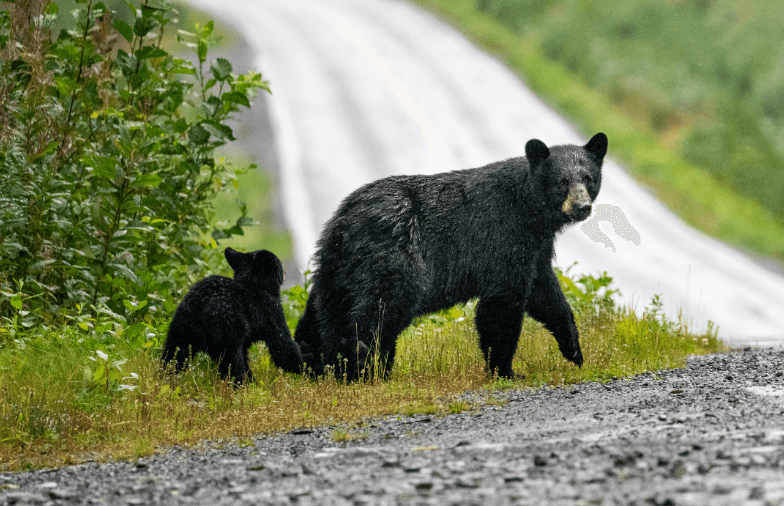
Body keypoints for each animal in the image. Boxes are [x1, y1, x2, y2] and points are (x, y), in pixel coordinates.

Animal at [162, 248, 304, 384]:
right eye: (279, 264)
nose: (285, 273)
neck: (251, 282)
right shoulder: (270, 309)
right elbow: (282, 346)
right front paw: (305, 368)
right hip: (227, 331)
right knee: (233, 364)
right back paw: (241, 385)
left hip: (181, 327)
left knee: (174, 355)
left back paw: (167, 377)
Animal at [298, 133, 608, 380]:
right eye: (562, 181)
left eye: (589, 178)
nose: (582, 207)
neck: (530, 210)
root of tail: (344, 218)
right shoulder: (503, 236)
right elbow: (502, 302)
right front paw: (505, 370)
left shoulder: (535, 247)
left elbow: (544, 291)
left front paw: (573, 349)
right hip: (392, 254)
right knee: (380, 308)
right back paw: (366, 366)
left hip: (336, 268)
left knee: (326, 312)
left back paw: (323, 364)